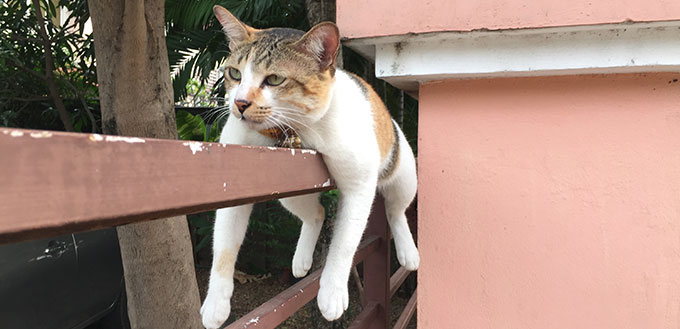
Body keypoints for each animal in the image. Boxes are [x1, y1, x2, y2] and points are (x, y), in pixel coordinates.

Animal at [199, 5, 418, 328]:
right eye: (234, 74)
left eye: (274, 79)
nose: (239, 103)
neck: (295, 131)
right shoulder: (238, 182)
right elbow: (224, 246)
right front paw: (216, 304)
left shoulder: (359, 185)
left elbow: (344, 243)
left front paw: (332, 294)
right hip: (288, 191)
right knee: (316, 213)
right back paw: (301, 261)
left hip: (403, 177)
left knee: (395, 211)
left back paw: (408, 252)